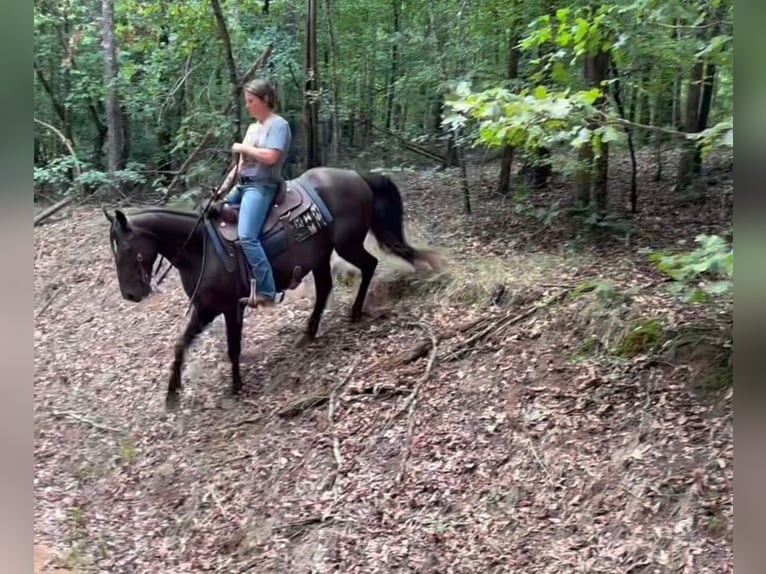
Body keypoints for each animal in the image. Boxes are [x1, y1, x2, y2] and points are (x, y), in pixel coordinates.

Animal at [104, 166, 440, 411]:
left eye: (128, 250)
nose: (130, 295)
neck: (201, 249)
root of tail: (358, 176)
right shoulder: (206, 308)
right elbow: (180, 345)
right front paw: (171, 395)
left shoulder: (231, 307)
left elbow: (233, 347)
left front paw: (236, 388)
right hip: (321, 255)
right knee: (325, 287)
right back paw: (309, 332)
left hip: (347, 245)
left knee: (369, 266)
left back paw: (355, 312)